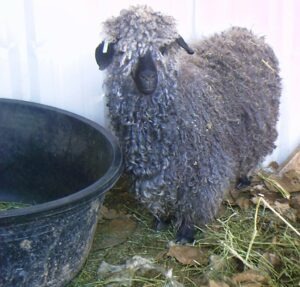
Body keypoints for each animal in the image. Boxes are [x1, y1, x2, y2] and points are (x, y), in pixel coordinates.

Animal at [96, 5, 282, 243]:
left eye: (164, 47)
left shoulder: (203, 166)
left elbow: (197, 200)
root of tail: (247, 33)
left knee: (254, 151)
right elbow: (157, 195)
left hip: (259, 125)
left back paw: (244, 178)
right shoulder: (151, 171)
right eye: (123, 51)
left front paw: (186, 232)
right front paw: (161, 220)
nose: (148, 77)